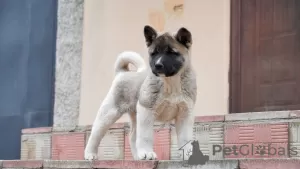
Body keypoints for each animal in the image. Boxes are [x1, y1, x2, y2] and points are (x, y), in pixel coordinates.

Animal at [84, 25, 197, 161]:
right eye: (154, 53)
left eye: (171, 52)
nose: (157, 65)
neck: (170, 83)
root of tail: (122, 73)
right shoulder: (146, 110)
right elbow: (145, 136)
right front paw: (147, 153)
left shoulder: (185, 114)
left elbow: (185, 138)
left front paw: (188, 153)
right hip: (109, 113)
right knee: (95, 133)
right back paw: (90, 153)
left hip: (135, 115)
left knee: (132, 136)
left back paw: (138, 157)